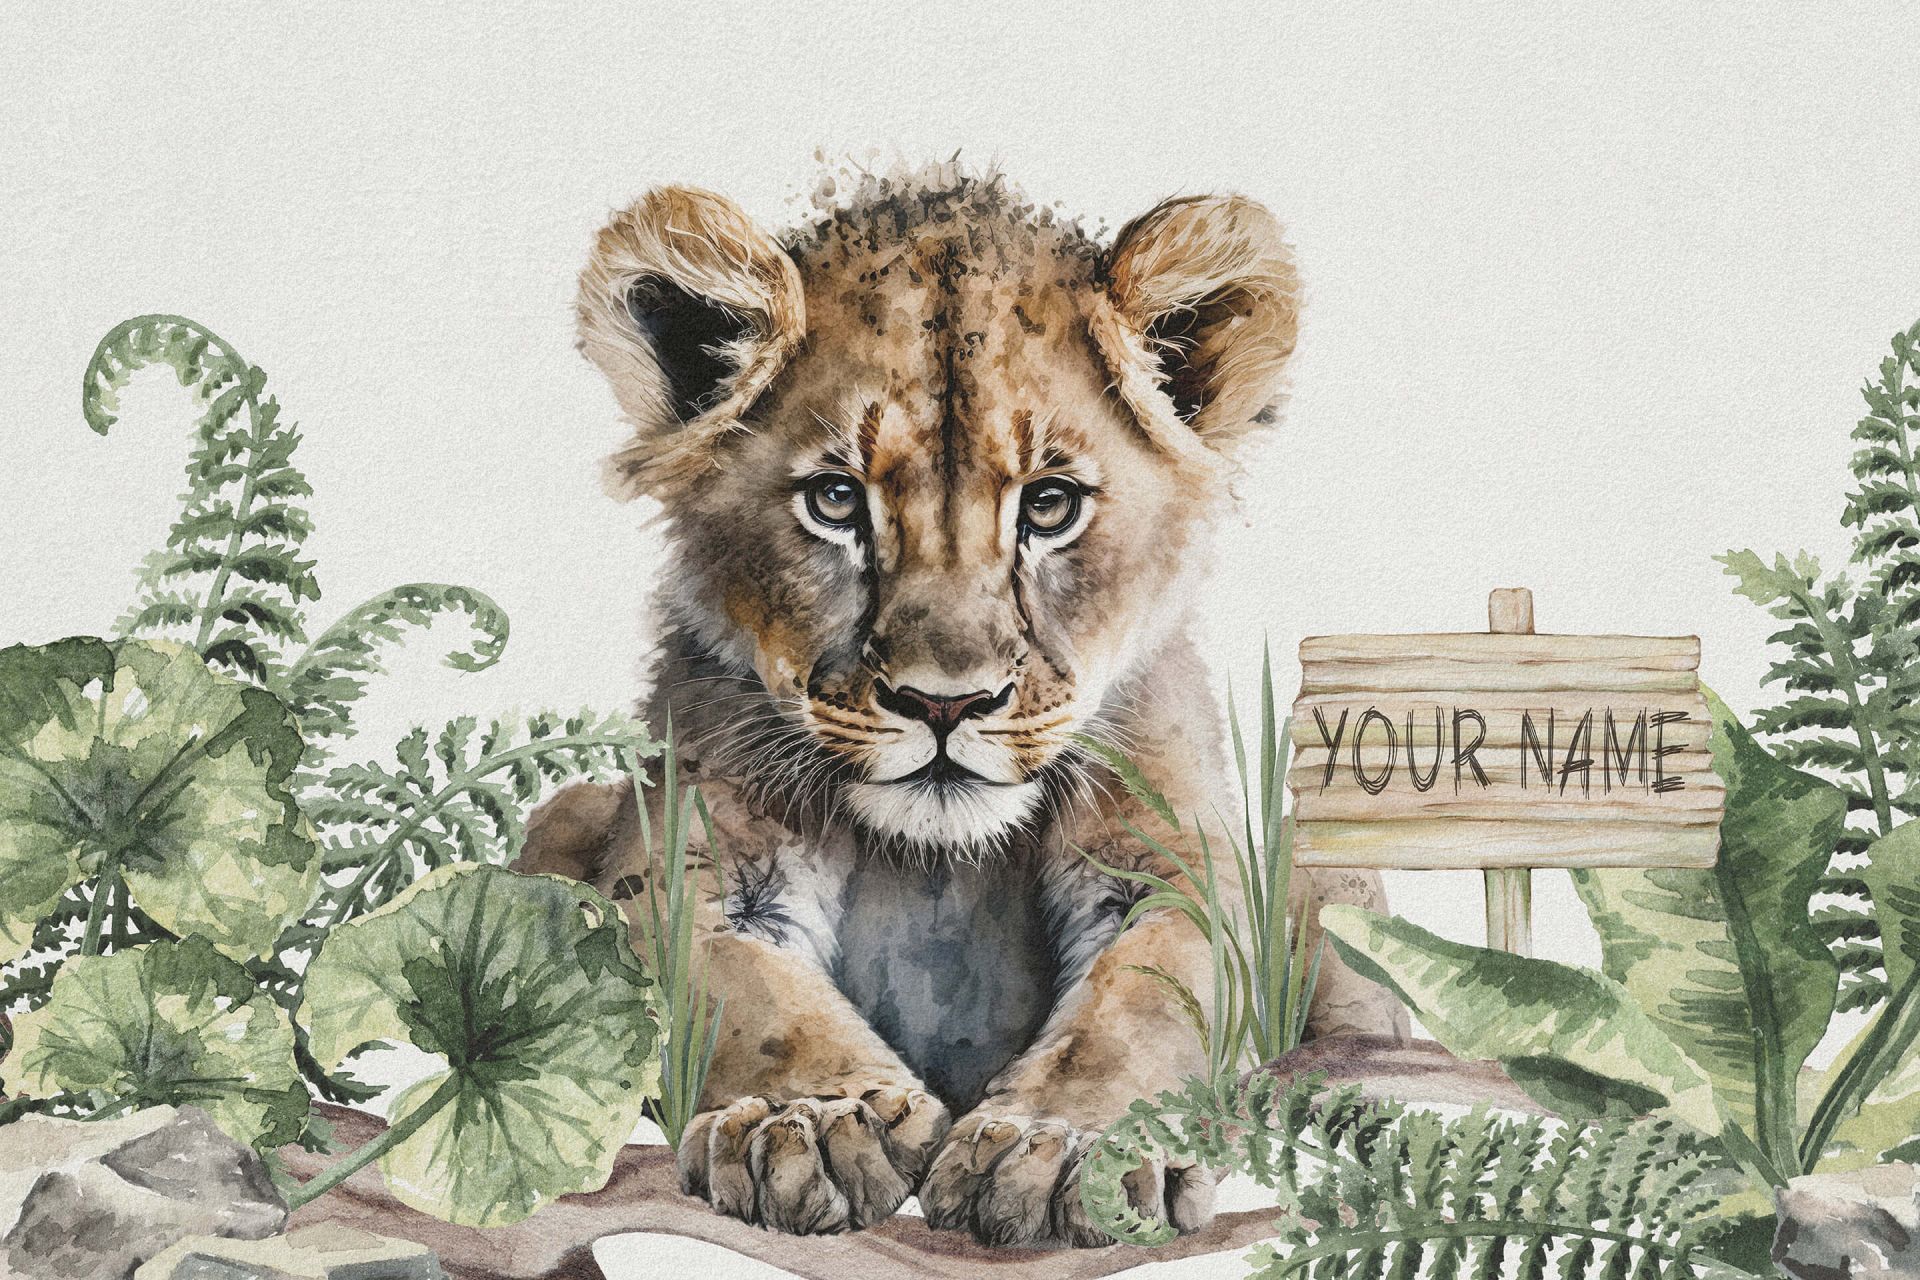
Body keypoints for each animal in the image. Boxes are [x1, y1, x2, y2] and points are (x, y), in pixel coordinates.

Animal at [516, 166, 1406, 1248]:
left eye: (1051, 506)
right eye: (835, 501)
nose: (946, 704)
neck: (937, 858)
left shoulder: (1171, 860)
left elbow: (1141, 1001)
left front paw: (1064, 1148)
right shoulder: (696, 858)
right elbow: (744, 987)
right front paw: (810, 1123)